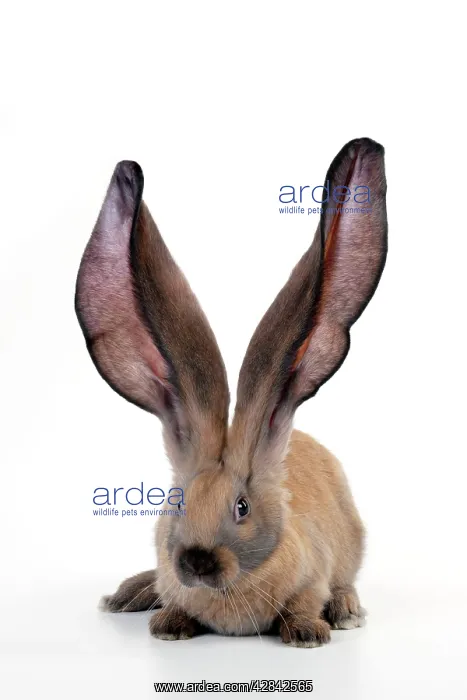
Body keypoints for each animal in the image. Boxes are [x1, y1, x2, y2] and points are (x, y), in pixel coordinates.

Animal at [76, 137, 387, 647]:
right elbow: (175, 601)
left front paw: (308, 633)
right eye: (176, 502)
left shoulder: (314, 574)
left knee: (344, 582)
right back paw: (129, 594)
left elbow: (306, 601)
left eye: (242, 507)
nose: (196, 562)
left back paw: (345, 610)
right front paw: (168, 625)